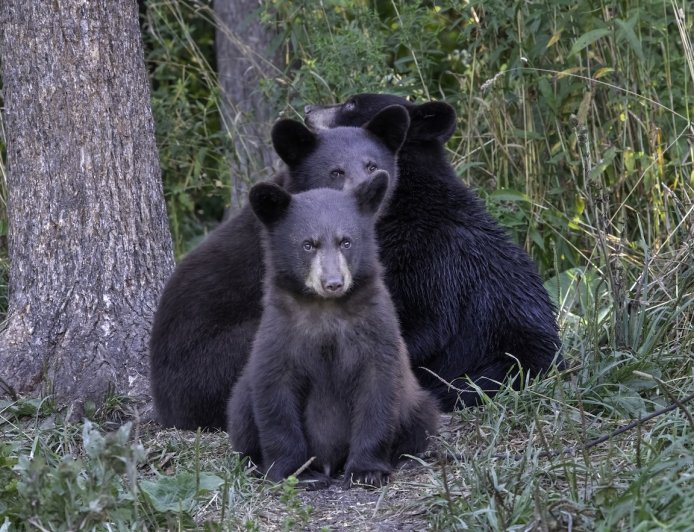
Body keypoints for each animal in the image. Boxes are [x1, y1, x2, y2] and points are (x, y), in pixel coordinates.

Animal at [227, 172, 440, 489]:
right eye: (308, 244)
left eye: (346, 242)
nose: (333, 283)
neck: (326, 309)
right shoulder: (280, 332)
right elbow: (275, 396)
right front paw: (298, 473)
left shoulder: (376, 327)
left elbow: (378, 390)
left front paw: (367, 470)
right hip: (241, 396)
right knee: (240, 412)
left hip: (416, 403)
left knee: (422, 418)